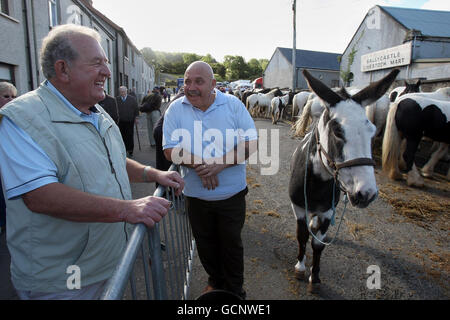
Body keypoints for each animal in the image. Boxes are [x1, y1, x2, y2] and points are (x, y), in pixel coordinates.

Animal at [288, 69, 398, 294]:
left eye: (372, 131)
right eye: (337, 131)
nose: (367, 193)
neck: (318, 183)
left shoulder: (328, 211)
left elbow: (318, 245)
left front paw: (315, 278)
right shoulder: (298, 206)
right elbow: (302, 236)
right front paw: (300, 267)